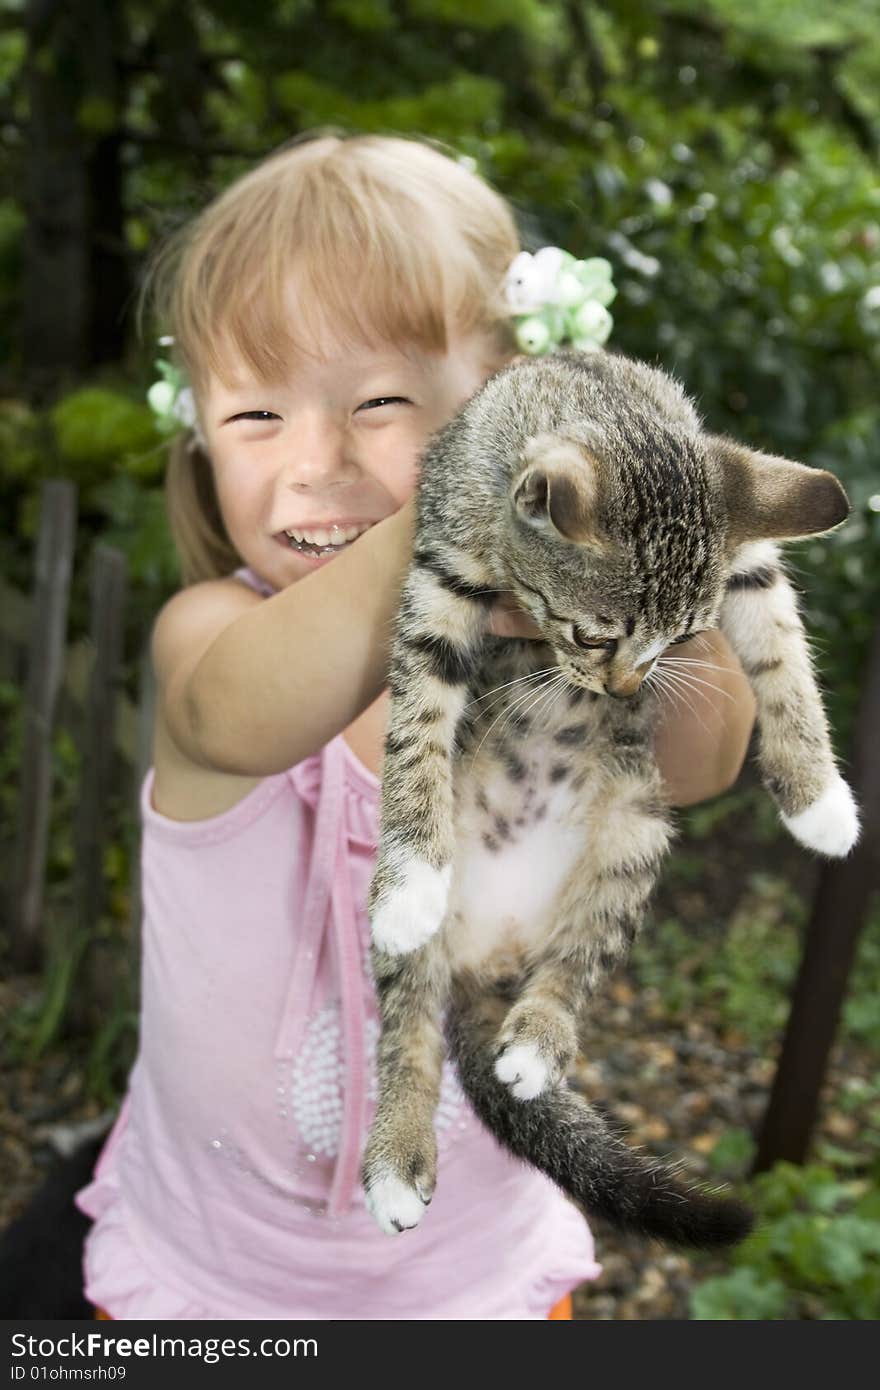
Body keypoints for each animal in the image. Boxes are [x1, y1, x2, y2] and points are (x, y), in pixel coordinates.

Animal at [361, 347, 856, 1251]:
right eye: (591, 635)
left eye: (686, 638)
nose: (627, 687)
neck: (608, 397)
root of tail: (494, 959)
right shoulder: (442, 568)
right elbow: (416, 721)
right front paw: (410, 878)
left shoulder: (750, 563)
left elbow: (781, 651)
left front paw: (818, 799)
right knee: (408, 1020)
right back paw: (397, 1155)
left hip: (635, 826)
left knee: (582, 952)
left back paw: (537, 1041)